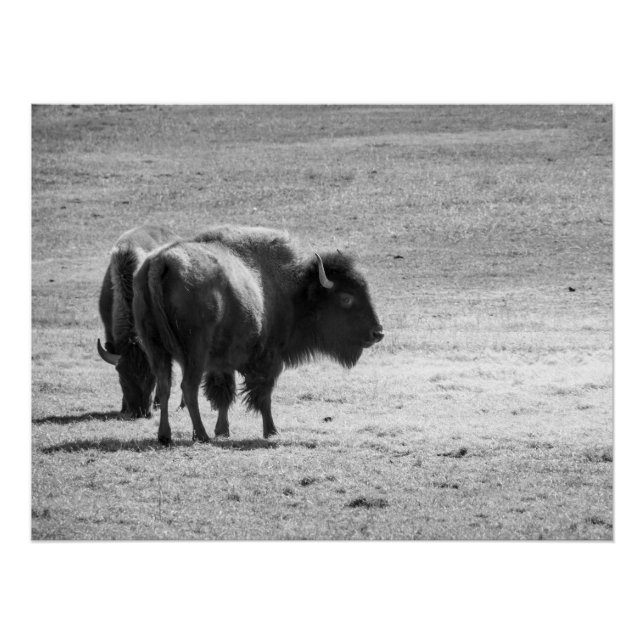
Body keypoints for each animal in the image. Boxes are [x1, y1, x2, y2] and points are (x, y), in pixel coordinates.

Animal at [133, 225, 384, 444]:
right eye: (346, 298)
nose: (378, 332)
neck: (295, 291)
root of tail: (160, 262)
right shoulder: (268, 359)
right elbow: (263, 395)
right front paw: (271, 431)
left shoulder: (222, 362)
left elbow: (224, 394)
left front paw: (223, 431)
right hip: (195, 353)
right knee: (188, 388)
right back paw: (201, 435)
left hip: (155, 349)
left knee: (164, 386)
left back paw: (165, 436)